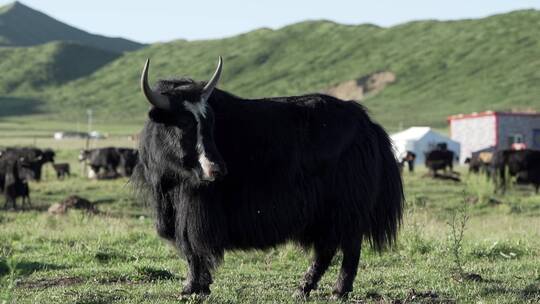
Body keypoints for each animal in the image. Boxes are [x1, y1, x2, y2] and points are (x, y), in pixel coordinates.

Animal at [133, 58, 402, 298]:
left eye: (209, 123)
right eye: (184, 123)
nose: (218, 170)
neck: (172, 180)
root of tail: (367, 125)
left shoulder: (195, 210)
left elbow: (191, 247)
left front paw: (192, 288)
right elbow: (187, 249)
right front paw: (198, 285)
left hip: (345, 208)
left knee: (348, 247)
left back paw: (337, 290)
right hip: (325, 214)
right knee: (327, 249)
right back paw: (303, 289)